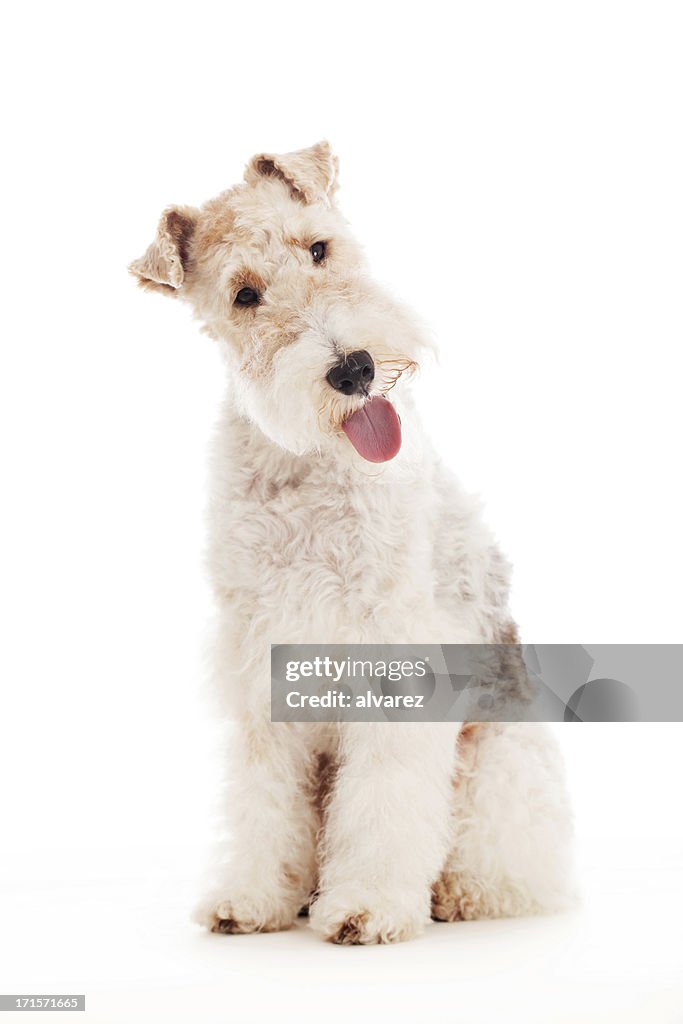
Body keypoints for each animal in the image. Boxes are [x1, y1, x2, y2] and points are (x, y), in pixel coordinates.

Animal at [129, 144, 577, 942]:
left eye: (319, 247)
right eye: (244, 295)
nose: (354, 369)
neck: (308, 467)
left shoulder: (395, 656)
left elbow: (384, 800)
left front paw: (366, 906)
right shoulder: (258, 658)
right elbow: (262, 804)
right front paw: (250, 898)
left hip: (501, 756)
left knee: (506, 861)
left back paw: (457, 895)